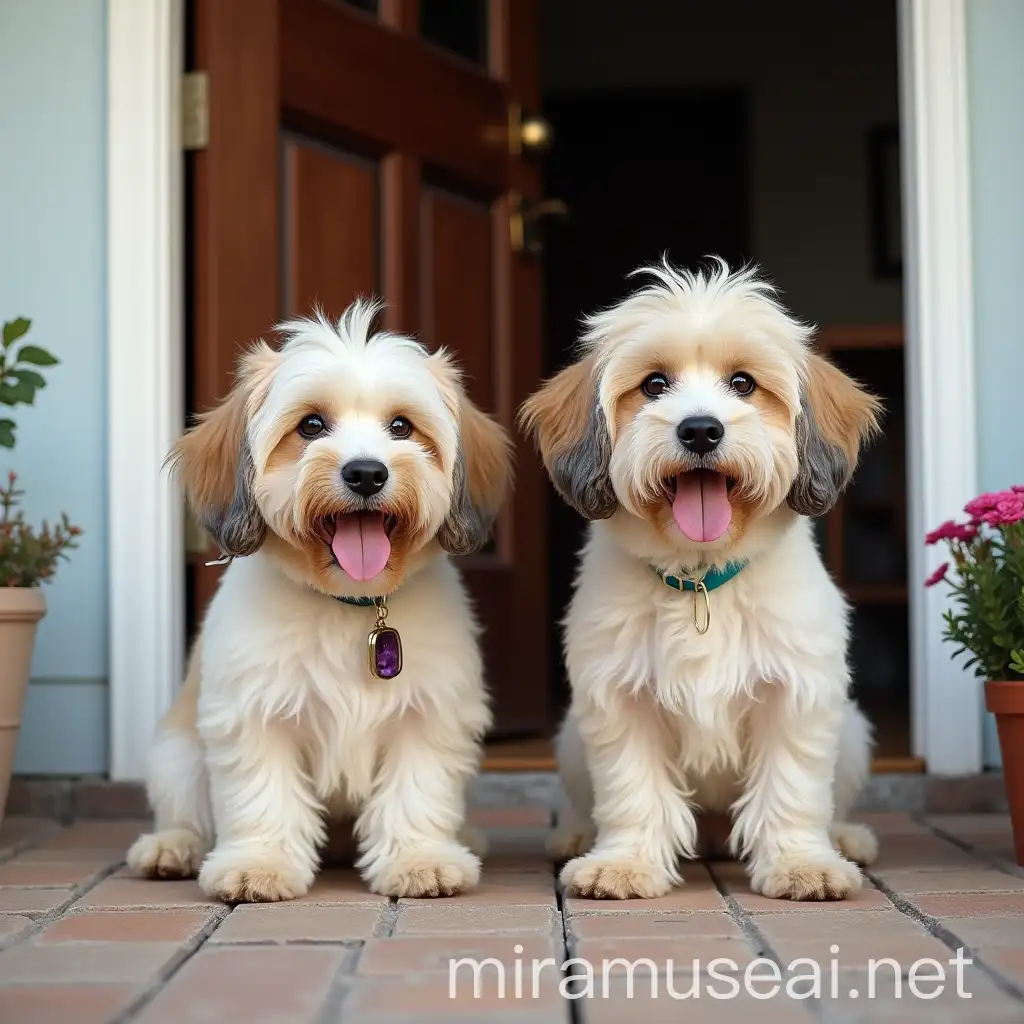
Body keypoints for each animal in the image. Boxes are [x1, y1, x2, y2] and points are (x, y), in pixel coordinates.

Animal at [128, 299, 512, 901]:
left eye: (401, 426)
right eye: (310, 425)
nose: (366, 472)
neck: (349, 606)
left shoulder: (428, 713)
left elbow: (417, 789)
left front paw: (420, 858)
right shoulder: (254, 712)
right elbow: (263, 793)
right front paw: (258, 864)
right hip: (176, 754)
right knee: (185, 811)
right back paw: (172, 848)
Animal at [524, 260, 884, 901]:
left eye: (743, 383)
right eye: (653, 385)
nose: (699, 431)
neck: (701, 577)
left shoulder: (798, 693)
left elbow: (792, 786)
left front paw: (801, 863)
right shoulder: (618, 697)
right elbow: (632, 788)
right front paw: (625, 863)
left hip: (853, 732)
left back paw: (845, 836)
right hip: (569, 740)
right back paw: (575, 834)